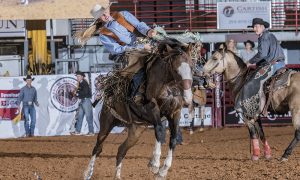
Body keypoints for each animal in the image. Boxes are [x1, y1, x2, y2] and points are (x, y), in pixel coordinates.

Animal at [83, 38, 195, 179]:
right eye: (175, 70)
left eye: (191, 66)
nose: (188, 96)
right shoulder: (151, 109)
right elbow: (159, 130)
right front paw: (155, 164)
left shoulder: (175, 113)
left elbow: (173, 138)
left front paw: (163, 170)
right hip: (106, 123)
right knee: (97, 148)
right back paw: (88, 173)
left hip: (136, 130)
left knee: (121, 150)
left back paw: (117, 176)